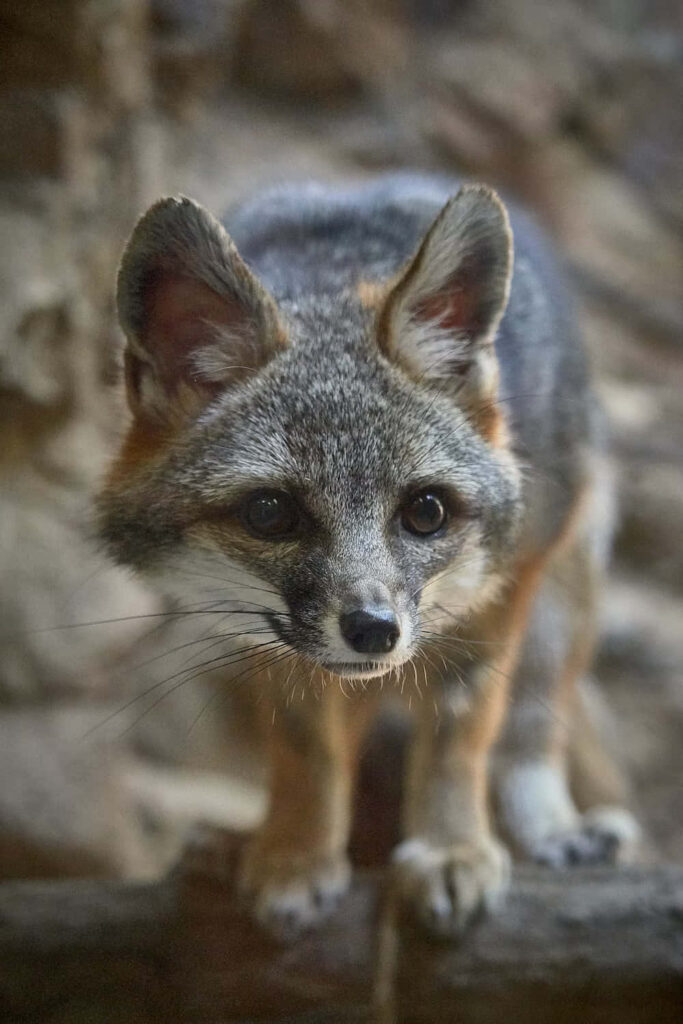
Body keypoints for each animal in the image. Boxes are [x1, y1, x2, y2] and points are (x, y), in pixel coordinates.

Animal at [97, 172, 640, 939]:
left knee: (531, 730)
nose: (375, 631)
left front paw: (449, 847)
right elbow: (308, 753)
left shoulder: (506, 585)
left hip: (563, 597)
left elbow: (461, 733)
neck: (334, 275)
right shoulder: (275, 646)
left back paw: (553, 831)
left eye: (426, 512)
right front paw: (294, 856)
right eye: (270, 513)